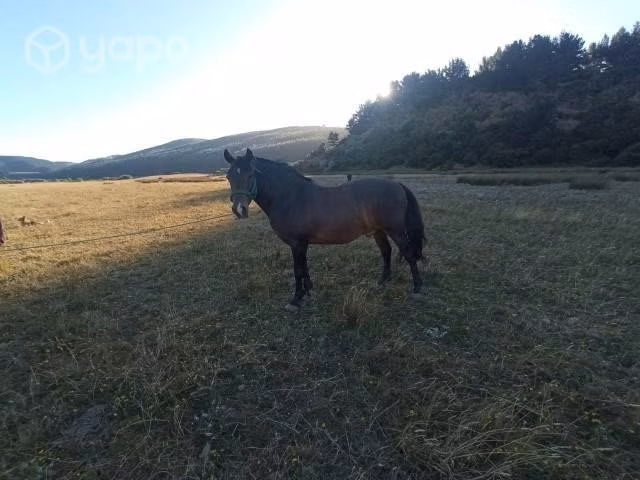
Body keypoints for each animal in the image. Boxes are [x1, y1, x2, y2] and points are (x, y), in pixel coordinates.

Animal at [223, 148, 426, 311]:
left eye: (250, 174)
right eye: (229, 176)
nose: (239, 210)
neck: (290, 197)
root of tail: (397, 185)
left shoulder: (296, 243)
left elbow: (298, 269)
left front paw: (295, 299)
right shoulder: (301, 244)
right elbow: (304, 267)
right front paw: (308, 290)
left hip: (396, 231)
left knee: (408, 254)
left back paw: (417, 288)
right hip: (379, 231)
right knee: (386, 251)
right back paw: (383, 281)